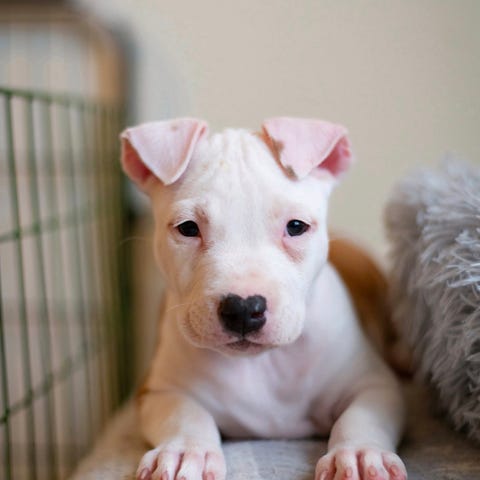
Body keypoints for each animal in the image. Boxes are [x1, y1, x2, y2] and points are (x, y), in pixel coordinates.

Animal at [120, 117, 407, 480]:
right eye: (187, 228)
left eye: (296, 226)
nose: (243, 309)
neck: (262, 363)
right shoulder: (156, 390)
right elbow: (185, 413)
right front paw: (186, 451)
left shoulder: (375, 384)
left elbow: (361, 416)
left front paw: (358, 454)